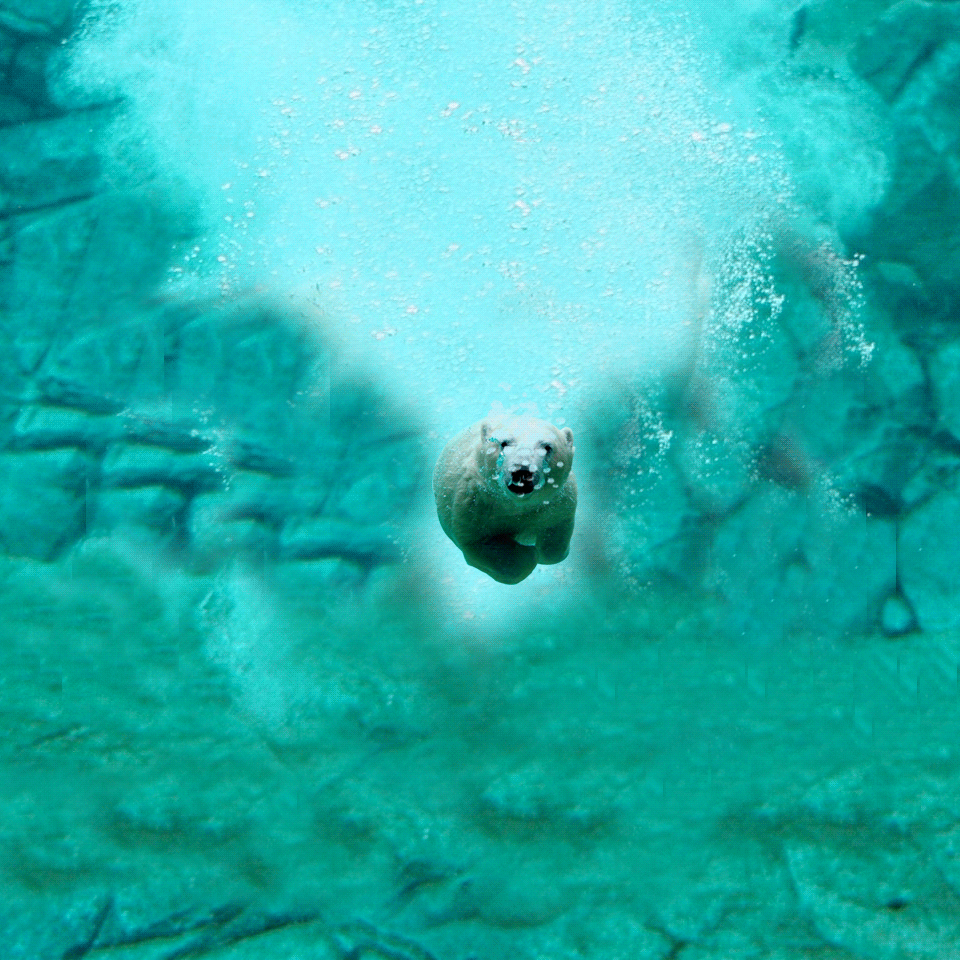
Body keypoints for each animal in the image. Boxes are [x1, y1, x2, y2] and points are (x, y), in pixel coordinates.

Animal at [433, 415, 577, 584]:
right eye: (504, 443)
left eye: (547, 447)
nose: (522, 470)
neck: (514, 505)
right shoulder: (474, 505)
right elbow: (482, 544)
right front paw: (528, 555)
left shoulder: (556, 502)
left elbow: (555, 538)